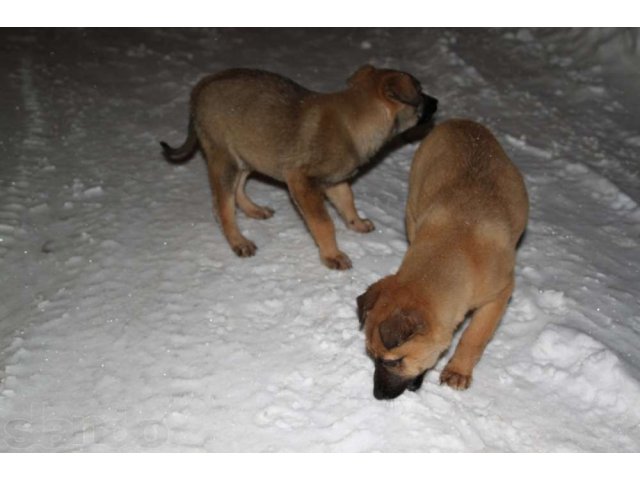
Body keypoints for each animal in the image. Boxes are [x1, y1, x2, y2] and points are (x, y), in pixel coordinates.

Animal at [162, 66, 438, 270]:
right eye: (420, 91)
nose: (436, 102)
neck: (356, 120)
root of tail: (200, 88)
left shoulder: (335, 181)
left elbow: (347, 201)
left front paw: (356, 223)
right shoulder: (301, 182)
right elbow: (324, 222)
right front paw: (332, 255)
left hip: (250, 152)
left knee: (238, 188)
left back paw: (254, 210)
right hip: (226, 158)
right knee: (222, 207)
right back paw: (238, 241)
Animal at [358, 120, 528, 402]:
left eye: (394, 361)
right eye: (371, 356)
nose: (377, 395)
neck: (455, 245)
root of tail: (460, 121)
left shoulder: (500, 295)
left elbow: (474, 336)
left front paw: (458, 371)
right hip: (412, 204)